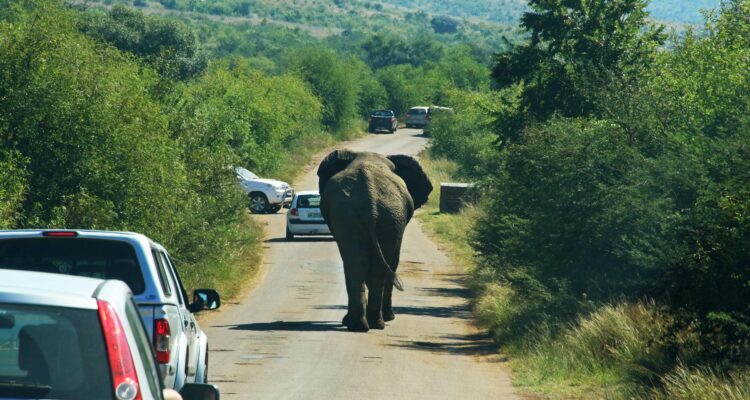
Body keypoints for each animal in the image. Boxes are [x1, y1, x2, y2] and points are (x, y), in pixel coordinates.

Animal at [317, 149, 433, 332]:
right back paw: (375, 323)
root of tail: (368, 199)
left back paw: (361, 325)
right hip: (383, 216)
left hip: (357, 215)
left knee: (357, 265)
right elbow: (393, 262)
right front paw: (390, 317)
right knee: (374, 267)